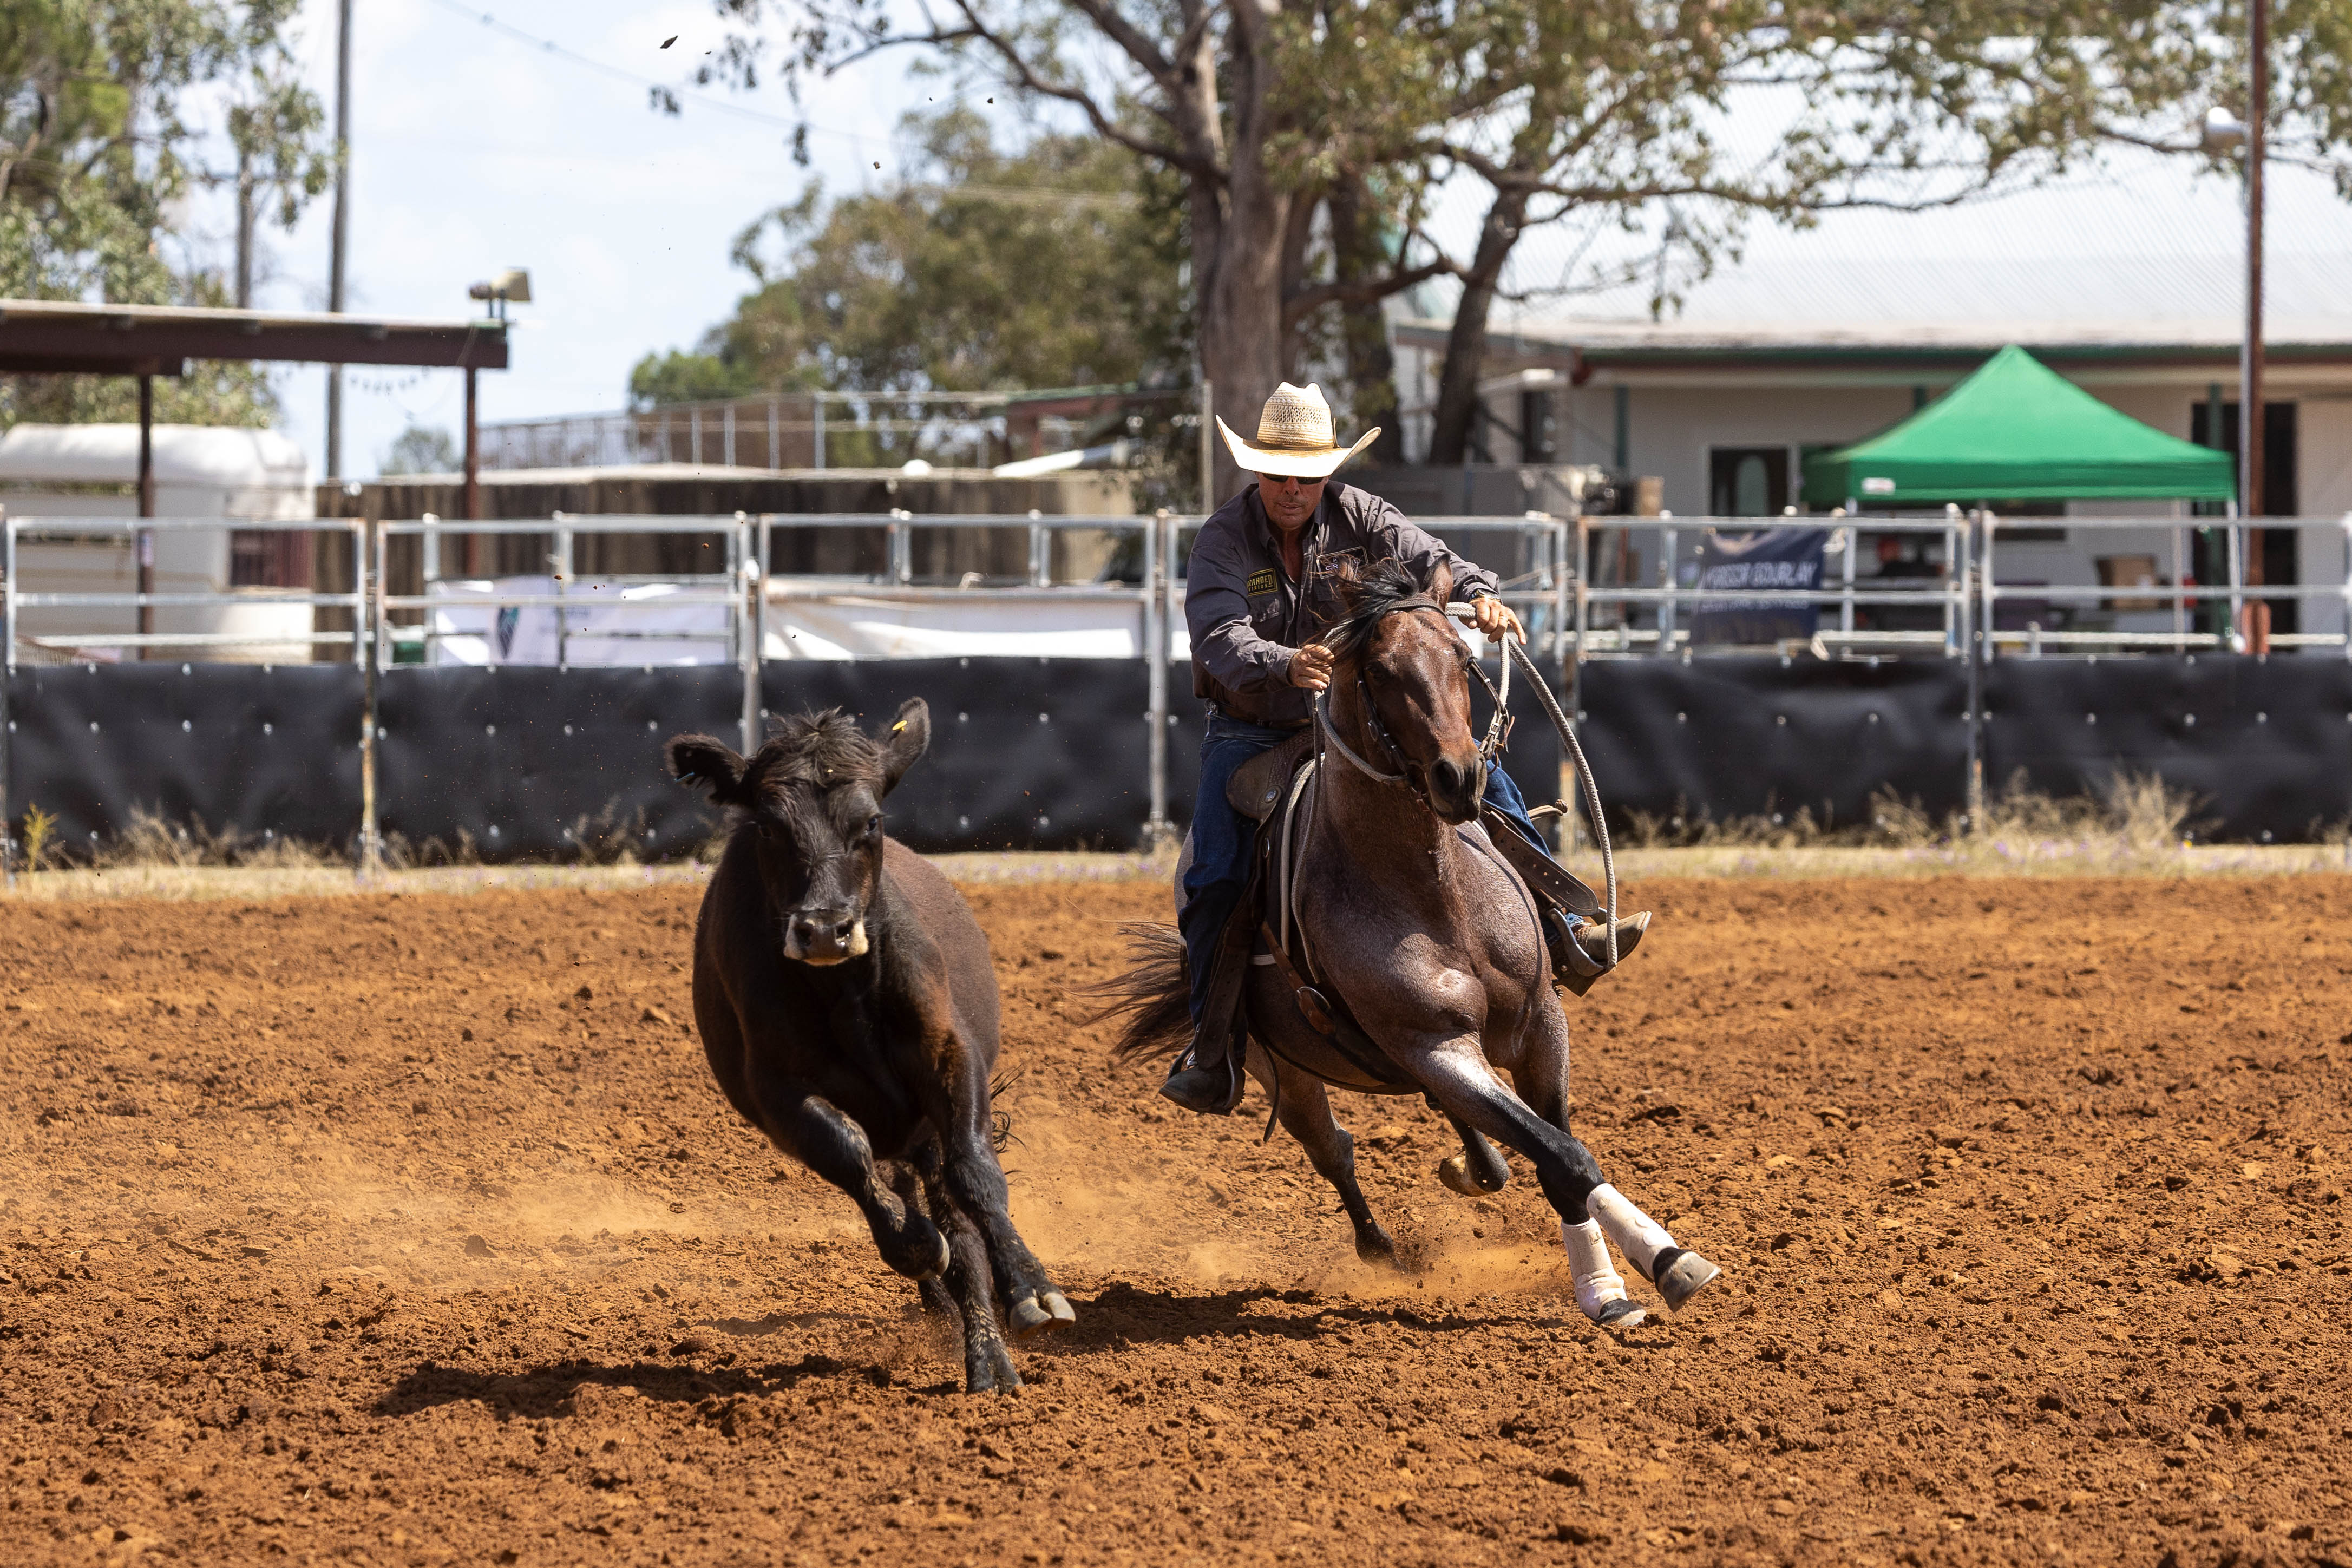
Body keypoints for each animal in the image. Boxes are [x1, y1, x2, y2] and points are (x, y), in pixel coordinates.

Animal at [666, 699, 1073, 1393]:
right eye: (770, 825)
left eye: (872, 820)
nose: (825, 929)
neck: (844, 989)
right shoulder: (777, 1091)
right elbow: (849, 1156)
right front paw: (916, 1244)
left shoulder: (950, 1056)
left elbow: (975, 1174)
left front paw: (1032, 1288)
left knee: (958, 1211)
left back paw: (990, 1354)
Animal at [1092, 560, 1719, 1326]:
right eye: (1381, 670)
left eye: (1462, 656)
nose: (1460, 776)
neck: (1434, 893)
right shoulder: (1434, 1043)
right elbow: (1563, 1156)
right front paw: (1643, 1272)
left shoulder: (1541, 1025)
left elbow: (1557, 1145)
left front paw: (1634, 1272)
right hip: (1284, 1070)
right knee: (1332, 1148)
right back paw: (1382, 1247)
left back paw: (1473, 1168)